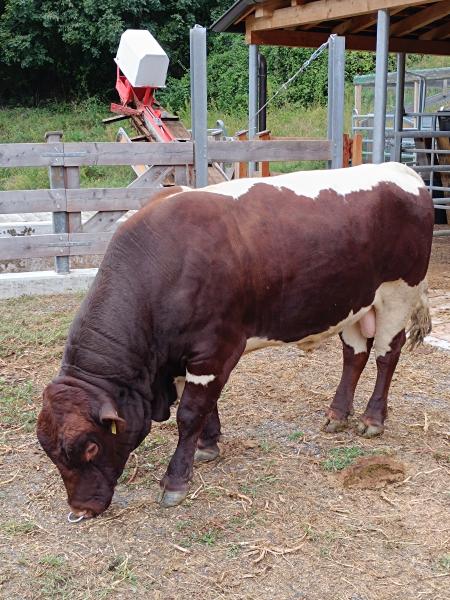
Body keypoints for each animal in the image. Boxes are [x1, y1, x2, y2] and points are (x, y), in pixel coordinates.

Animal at [37, 162, 432, 516]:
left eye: (90, 448)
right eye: (51, 453)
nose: (80, 509)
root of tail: (400, 171)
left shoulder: (214, 349)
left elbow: (190, 413)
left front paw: (176, 480)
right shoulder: (185, 356)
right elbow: (204, 406)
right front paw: (208, 445)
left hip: (397, 294)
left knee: (386, 354)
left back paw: (372, 419)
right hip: (353, 303)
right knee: (354, 354)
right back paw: (337, 414)